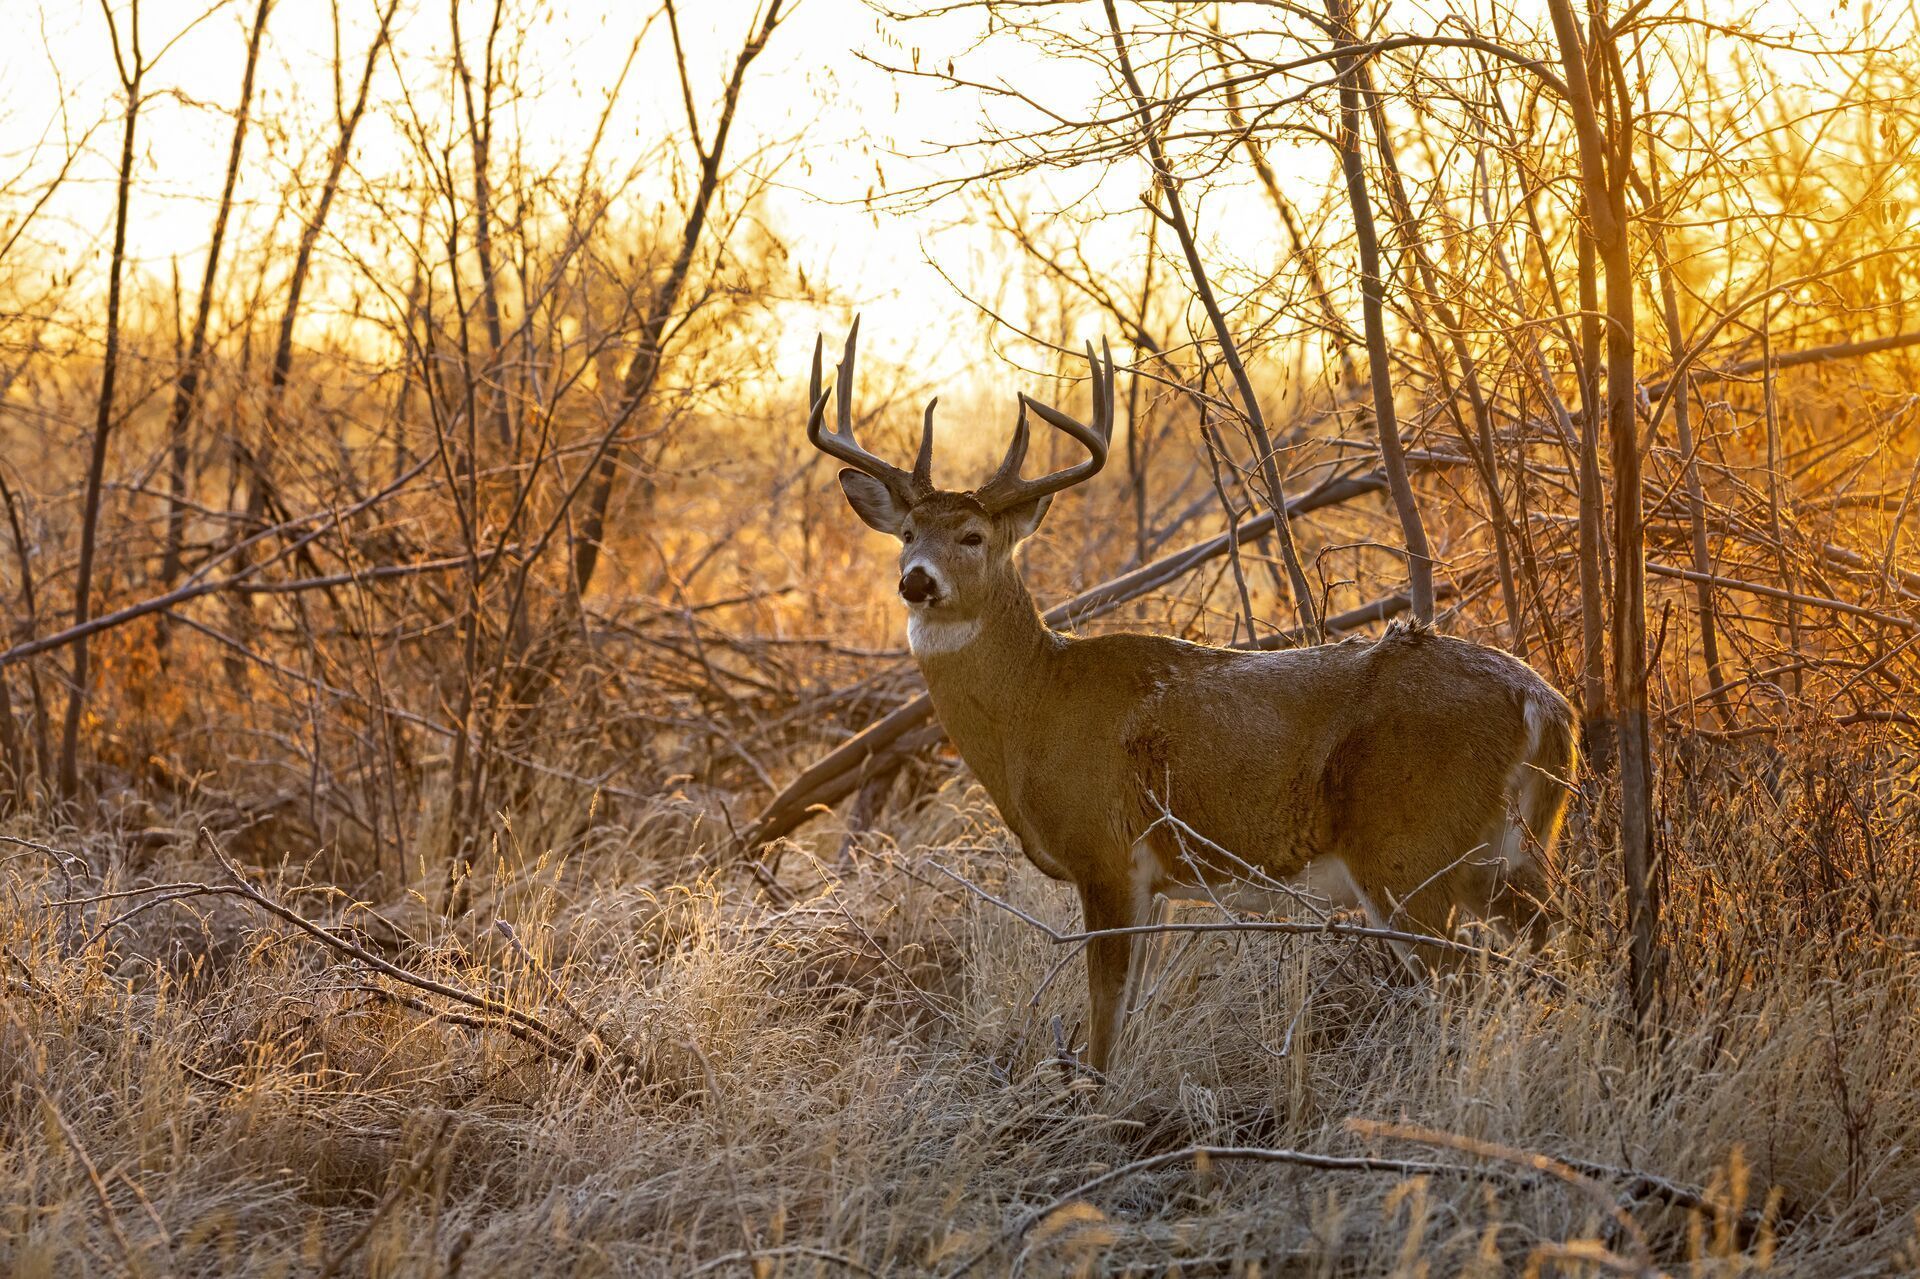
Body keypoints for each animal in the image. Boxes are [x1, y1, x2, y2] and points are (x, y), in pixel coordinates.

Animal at [804, 322, 1577, 1073]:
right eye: (907, 533)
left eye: (972, 535)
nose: (916, 580)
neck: (1036, 704)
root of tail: (1544, 701)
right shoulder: (1158, 885)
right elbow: (1130, 1011)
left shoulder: (1104, 852)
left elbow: (1105, 1020)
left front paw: (1094, 1102)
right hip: (1508, 853)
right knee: (1566, 950)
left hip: (1409, 851)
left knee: (1466, 987)